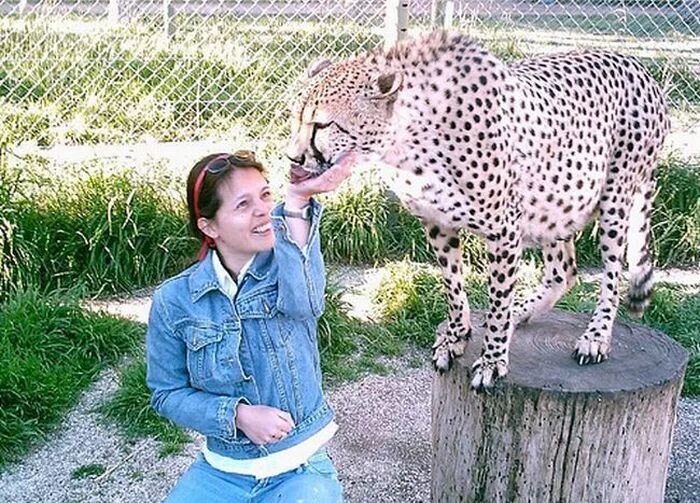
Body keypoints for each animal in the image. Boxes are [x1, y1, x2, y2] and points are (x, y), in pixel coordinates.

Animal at [288, 31, 668, 392]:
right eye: (296, 119)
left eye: (322, 126)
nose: (293, 157)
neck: (408, 141)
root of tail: (636, 65)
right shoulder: (437, 222)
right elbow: (452, 284)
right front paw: (457, 335)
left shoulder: (504, 231)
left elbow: (497, 299)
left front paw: (492, 359)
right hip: (556, 200)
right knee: (564, 270)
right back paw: (523, 311)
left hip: (614, 200)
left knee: (611, 276)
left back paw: (595, 337)